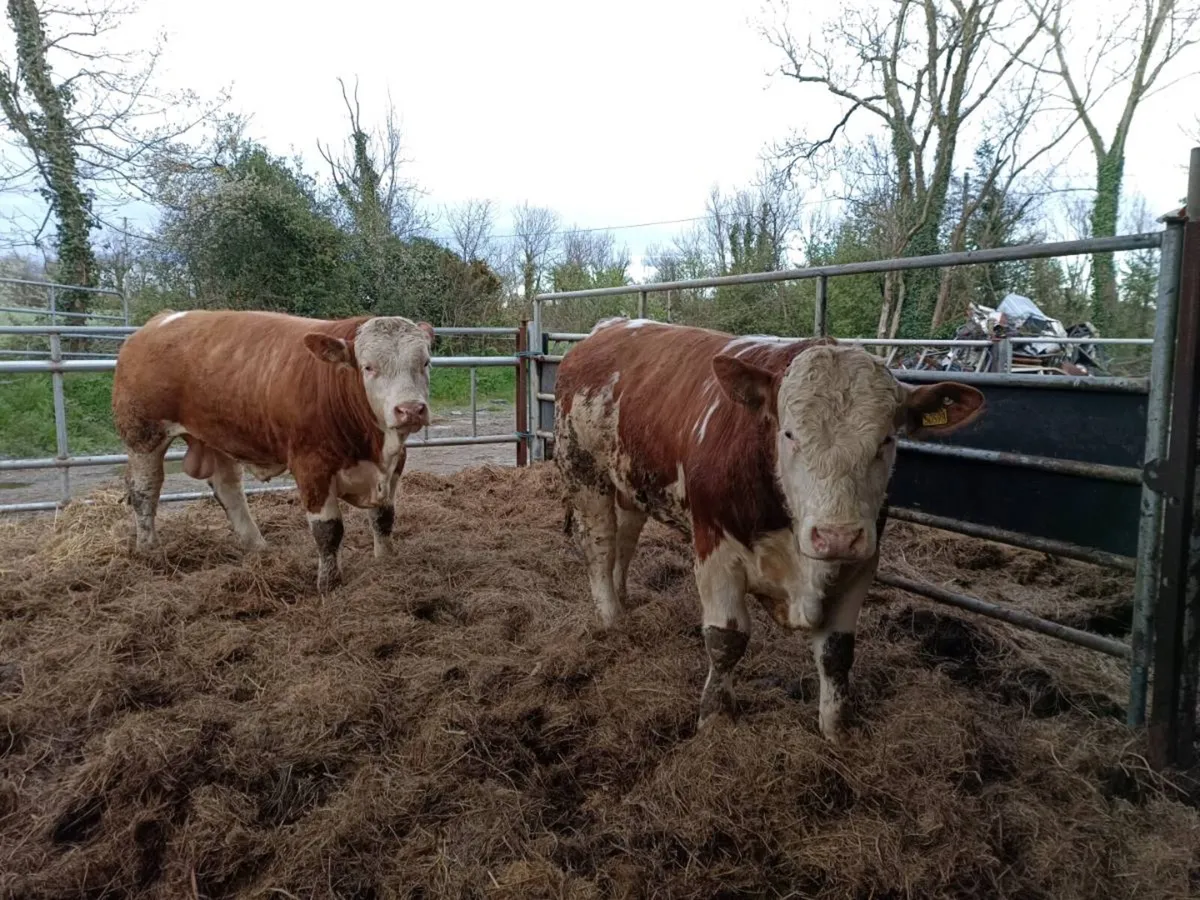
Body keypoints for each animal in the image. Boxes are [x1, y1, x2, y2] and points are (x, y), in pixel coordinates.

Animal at [111, 309, 436, 592]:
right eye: (369, 367)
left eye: (425, 362)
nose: (410, 410)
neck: (373, 447)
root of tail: (158, 321)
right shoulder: (311, 466)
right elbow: (328, 531)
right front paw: (329, 585)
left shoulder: (395, 462)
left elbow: (384, 518)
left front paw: (386, 562)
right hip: (143, 435)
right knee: (144, 491)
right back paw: (149, 550)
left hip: (218, 436)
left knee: (228, 489)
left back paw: (258, 547)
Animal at [553, 317, 986, 741]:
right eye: (789, 434)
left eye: (887, 439)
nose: (837, 536)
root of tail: (606, 329)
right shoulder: (715, 550)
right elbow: (726, 640)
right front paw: (715, 722)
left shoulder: (862, 564)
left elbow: (837, 652)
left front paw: (837, 732)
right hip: (583, 470)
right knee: (600, 545)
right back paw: (611, 616)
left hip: (630, 481)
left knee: (626, 538)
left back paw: (623, 598)